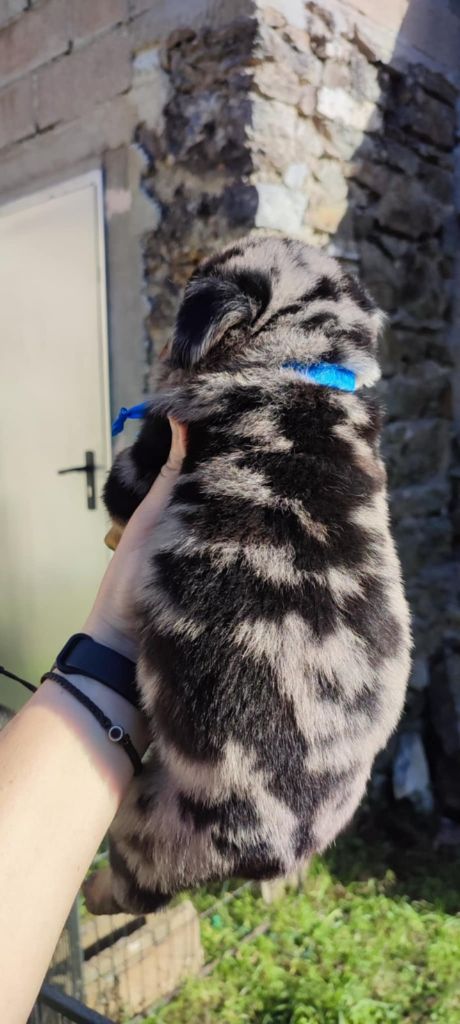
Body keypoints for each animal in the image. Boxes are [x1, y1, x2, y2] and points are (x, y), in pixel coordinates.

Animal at [85, 234, 411, 916]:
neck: (302, 365)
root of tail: (282, 848)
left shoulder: (144, 460)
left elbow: (118, 493)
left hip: (147, 819)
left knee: (134, 889)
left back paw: (93, 892)